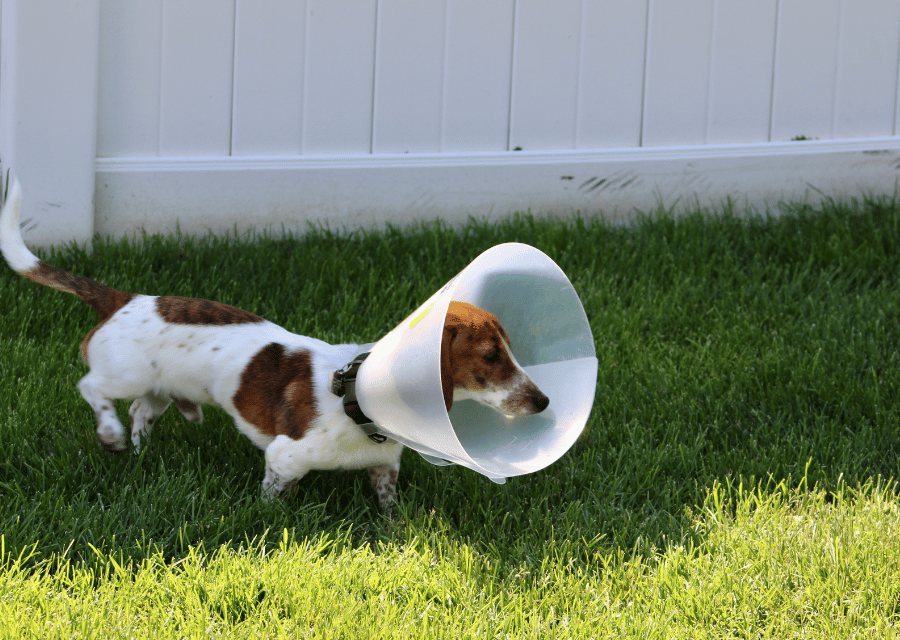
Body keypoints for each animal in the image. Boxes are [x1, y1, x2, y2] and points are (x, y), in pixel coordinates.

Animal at [0, 181, 548, 510]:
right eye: (491, 357)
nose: (544, 402)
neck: (356, 399)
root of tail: (123, 298)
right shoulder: (285, 460)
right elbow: (273, 500)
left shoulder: (384, 468)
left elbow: (388, 502)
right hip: (123, 371)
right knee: (92, 388)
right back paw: (111, 434)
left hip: (157, 387)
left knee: (141, 410)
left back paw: (138, 451)